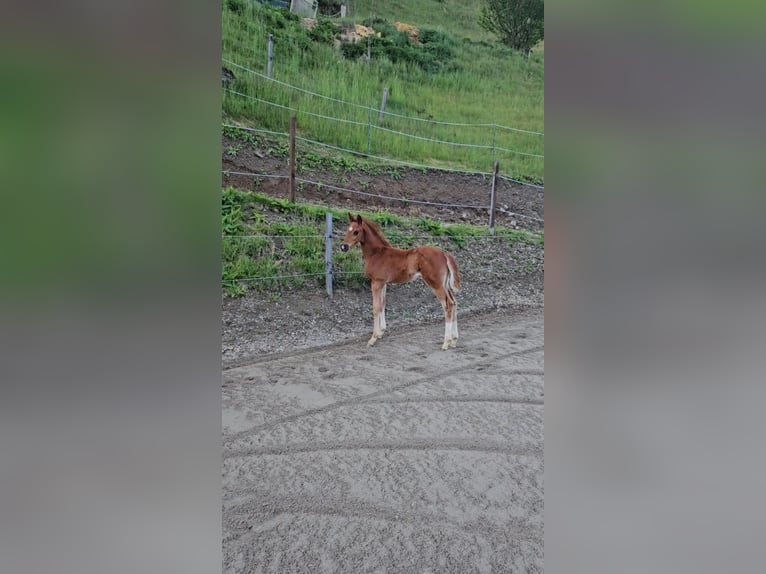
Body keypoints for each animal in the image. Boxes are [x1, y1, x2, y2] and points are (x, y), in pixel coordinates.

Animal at [340, 213, 461, 350]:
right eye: (347, 229)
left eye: (356, 232)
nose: (343, 247)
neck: (376, 253)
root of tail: (444, 253)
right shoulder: (383, 283)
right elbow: (382, 304)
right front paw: (381, 332)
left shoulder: (376, 282)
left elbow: (375, 308)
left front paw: (373, 338)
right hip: (445, 285)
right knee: (454, 302)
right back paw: (454, 340)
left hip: (436, 284)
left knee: (448, 305)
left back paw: (446, 342)